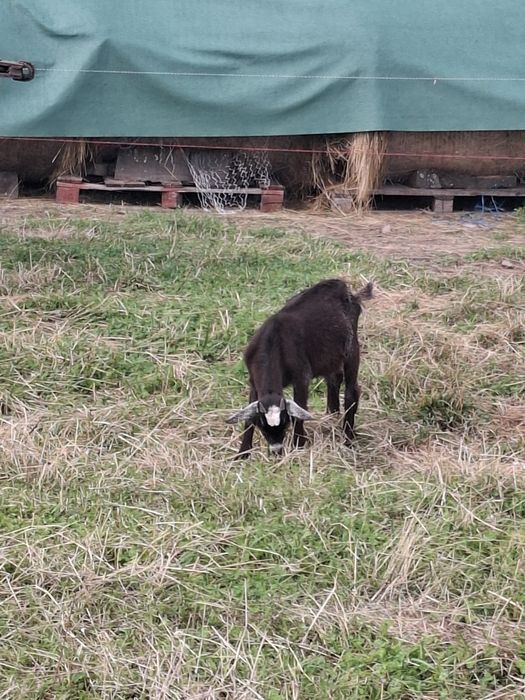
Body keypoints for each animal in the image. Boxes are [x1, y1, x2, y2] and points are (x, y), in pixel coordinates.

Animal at [227, 278, 372, 458]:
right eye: (262, 426)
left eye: (285, 422)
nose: (276, 451)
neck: (273, 344)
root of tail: (342, 287)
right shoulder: (253, 382)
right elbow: (248, 419)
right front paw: (243, 453)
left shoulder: (301, 377)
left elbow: (300, 412)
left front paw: (299, 445)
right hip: (329, 356)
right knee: (334, 379)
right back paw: (332, 416)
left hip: (351, 348)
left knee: (351, 392)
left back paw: (348, 439)